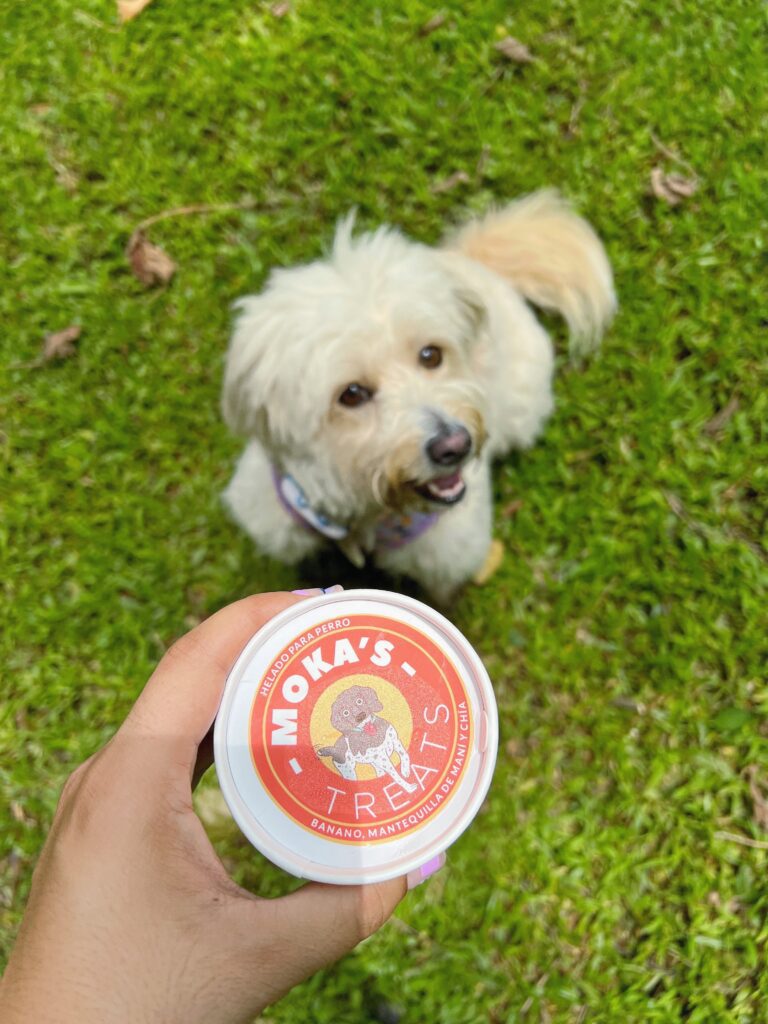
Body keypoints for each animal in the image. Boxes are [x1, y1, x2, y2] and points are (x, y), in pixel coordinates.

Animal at [219, 192, 618, 598]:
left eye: (431, 355)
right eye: (351, 394)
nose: (455, 446)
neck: (369, 510)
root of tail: (472, 261)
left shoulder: (446, 554)